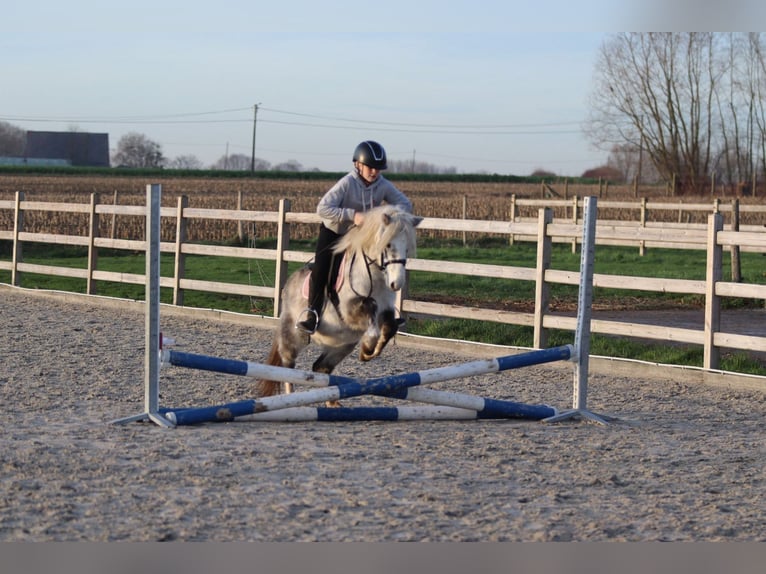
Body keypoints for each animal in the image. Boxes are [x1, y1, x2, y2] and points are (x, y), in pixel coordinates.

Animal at [255, 205, 422, 397]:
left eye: (407, 248)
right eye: (387, 245)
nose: (397, 284)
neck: (376, 279)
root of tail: (290, 282)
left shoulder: (386, 310)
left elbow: (389, 327)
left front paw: (368, 353)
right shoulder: (348, 310)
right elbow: (369, 307)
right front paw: (368, 345)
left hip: (342, 346)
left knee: (320, 367)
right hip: (293, 335)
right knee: (287, 367)